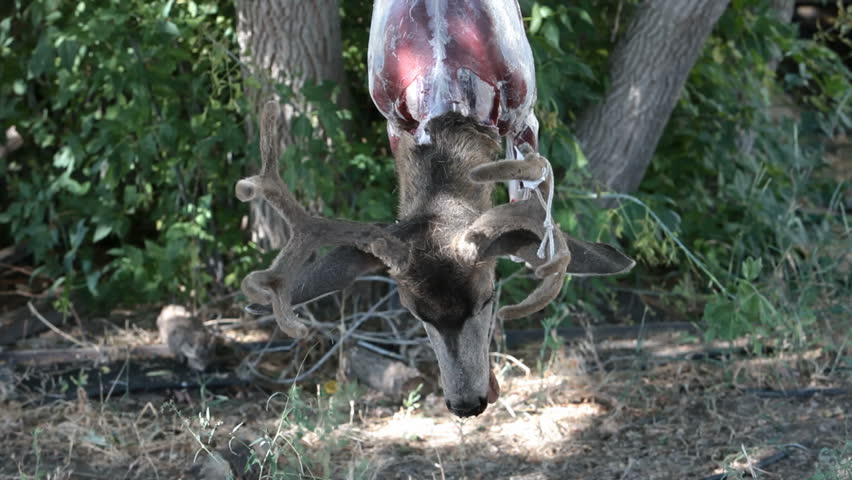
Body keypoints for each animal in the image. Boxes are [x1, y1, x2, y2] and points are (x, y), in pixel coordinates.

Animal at [235, 0, 635, 418]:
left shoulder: (526, 113)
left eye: (488, 298)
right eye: (416, 313)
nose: (468, 404)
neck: (446, 93)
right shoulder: (395, 126)